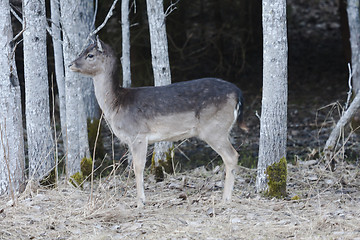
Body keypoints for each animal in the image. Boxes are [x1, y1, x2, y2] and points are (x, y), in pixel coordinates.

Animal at [69, 38, 246, 207]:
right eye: (81, 51)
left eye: (90, 55)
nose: (71, 64)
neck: (116, 104)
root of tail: (238, 93)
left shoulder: (138, 134)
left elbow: (138, 167)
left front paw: (141, 202)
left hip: (214, 129)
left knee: (232, 156)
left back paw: (225, 199)